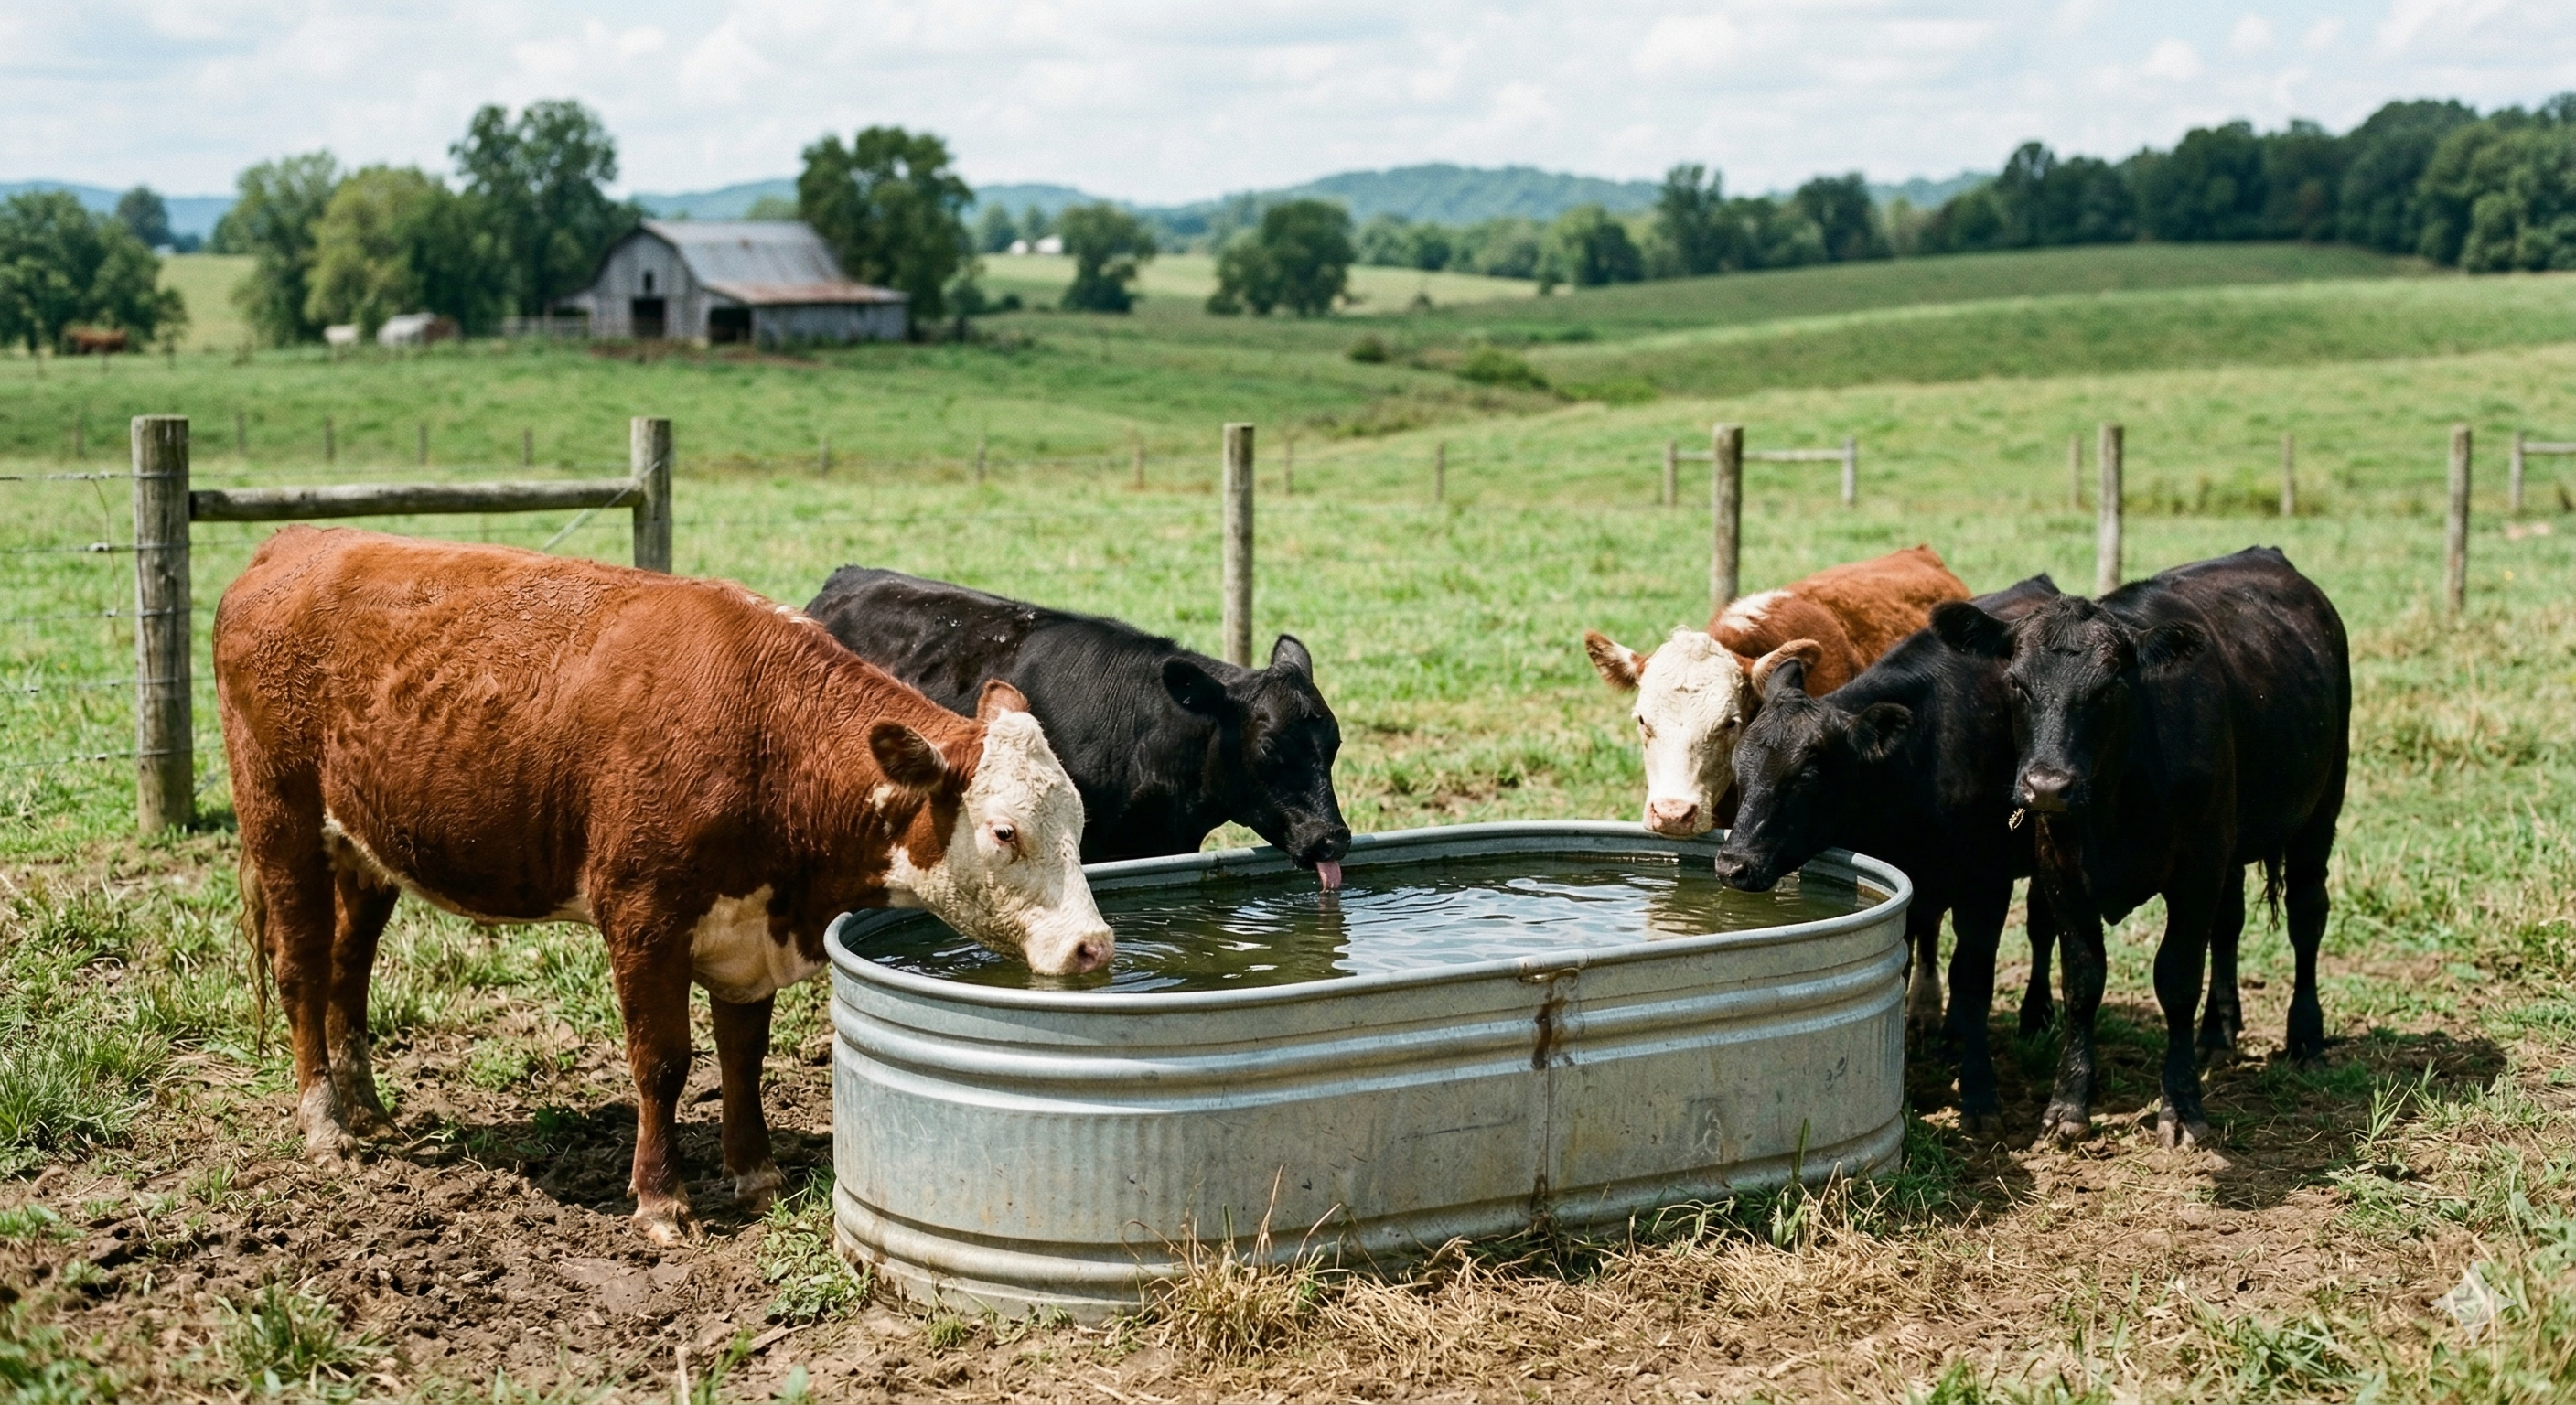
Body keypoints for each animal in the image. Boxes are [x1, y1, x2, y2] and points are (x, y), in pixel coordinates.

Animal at [217, 528, 1112, 1241]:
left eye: (1080, 821)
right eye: (1005, 831)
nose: (1093, 945)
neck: (762, 729)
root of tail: (297, 542)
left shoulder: (747, 927)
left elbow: (742, 1054)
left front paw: (755, 1175)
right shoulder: (642, 917)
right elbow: (662, 1062)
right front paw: (661, 1200)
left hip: (367, 849)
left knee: (348, 969)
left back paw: (367, 1106)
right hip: (280, 822)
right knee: (302, 970)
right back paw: (326, 1126)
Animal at [1710, 576, 2063, 1134]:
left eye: (1807, 776)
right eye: (1740, 770)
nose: (1732, 865)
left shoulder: (1987, 886)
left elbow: (1973, 980)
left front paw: (1980, 1096)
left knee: (2042, 927)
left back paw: (2034, 1016)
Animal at [1933, 547, 2349, 1148]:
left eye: (2108, 688)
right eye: (2015, 683)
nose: (2048, 786)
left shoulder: (2196, 869)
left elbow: (2177, 979)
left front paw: (2181, 1105)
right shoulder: (2061, 871)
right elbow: (2083, 982)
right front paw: (2068, 1103)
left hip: (2320, 812)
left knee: (2306, 918)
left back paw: (2306, 1039)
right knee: (2229, 925)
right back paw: (2218, 1034)